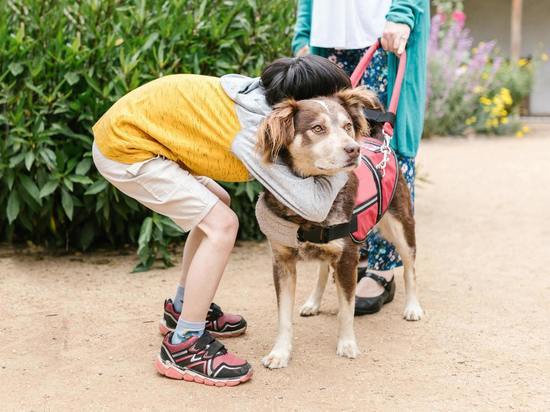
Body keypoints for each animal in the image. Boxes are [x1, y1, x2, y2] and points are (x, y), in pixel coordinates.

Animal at [256, 87, 424, 370]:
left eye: (347, 126)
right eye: (317, 128)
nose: (353, 149)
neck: (311, 198)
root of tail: (379, 142)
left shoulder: (348, 257)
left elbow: (347, 309)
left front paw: (347, 344)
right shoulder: (282, 261)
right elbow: (283, 317)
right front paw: (280, 352)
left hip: (401, 226)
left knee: (410, 267)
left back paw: (413, 307)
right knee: (324, 268)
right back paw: (313, 302)